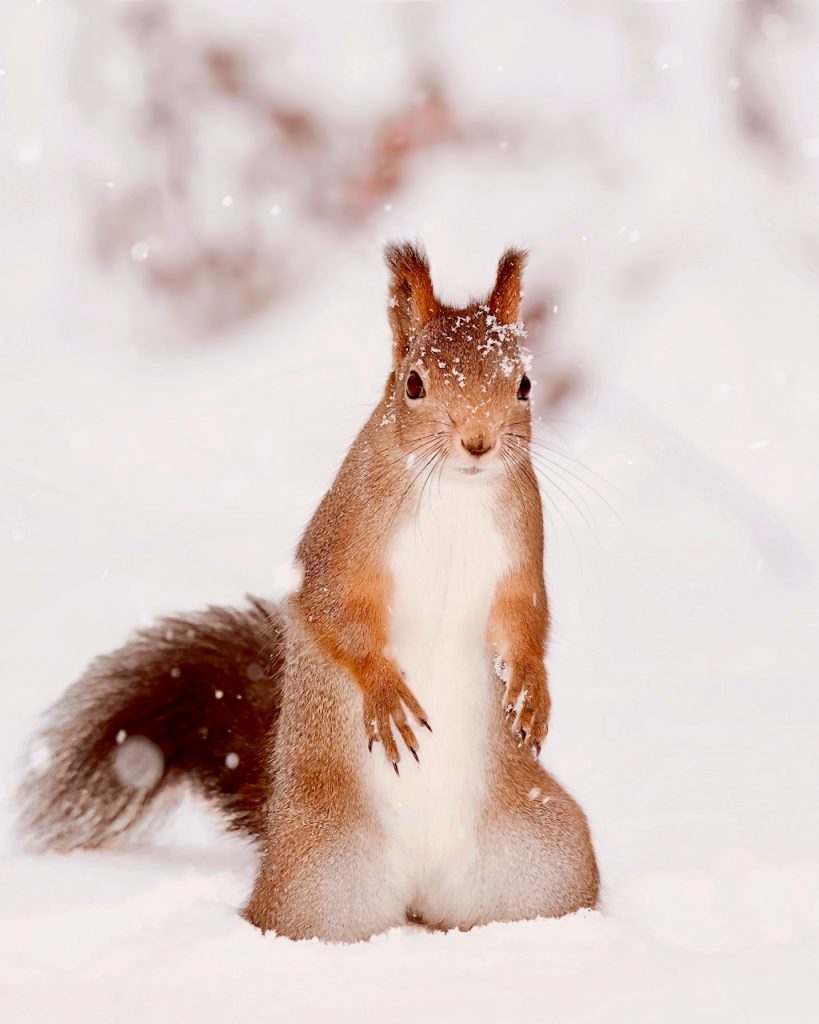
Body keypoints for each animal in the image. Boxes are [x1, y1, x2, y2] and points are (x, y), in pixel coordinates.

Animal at [17, 243, 593, 937]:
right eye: (414, 383)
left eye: (525, 383)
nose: (477, 443)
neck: (456, 490)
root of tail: (418, 894)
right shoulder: (340, 547)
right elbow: (332, 610)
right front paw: (383, 690)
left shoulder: (521, 553)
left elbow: (525, 619)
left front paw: (531, 690)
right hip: (316, 878)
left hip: (548, 859)